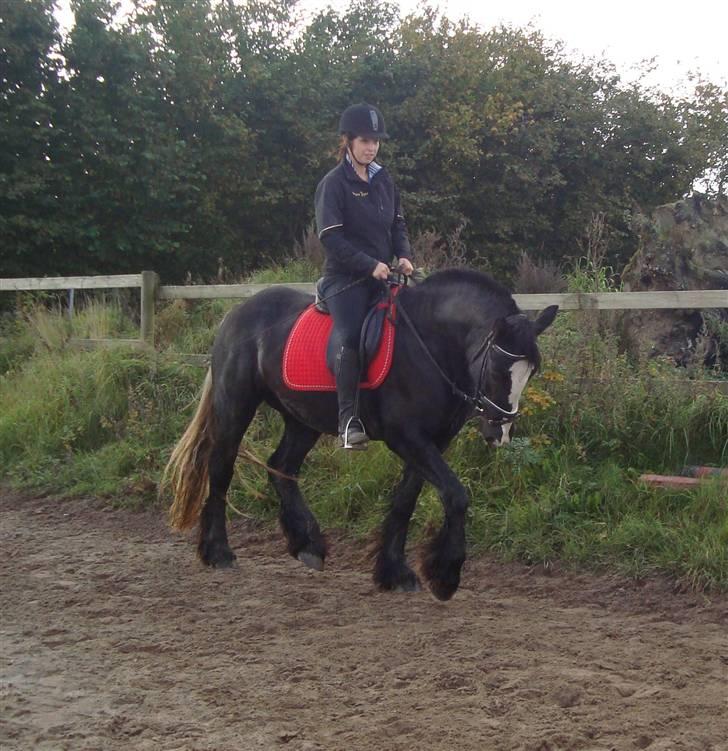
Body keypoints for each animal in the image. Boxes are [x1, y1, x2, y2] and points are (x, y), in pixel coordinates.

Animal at [164, 268, 556, 604]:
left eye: (531, 373)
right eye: (498, 369)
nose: (499, 431)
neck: (432, 343)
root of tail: (237, 313)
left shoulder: (431, 442)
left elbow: (405, 501)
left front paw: (395, 572)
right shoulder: (407, 438)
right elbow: (456, 495)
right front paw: (445, 577)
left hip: (302, 419)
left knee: (282, 467)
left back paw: (308, 545)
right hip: (237, 405)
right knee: (221, 466)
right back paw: (219, 552)